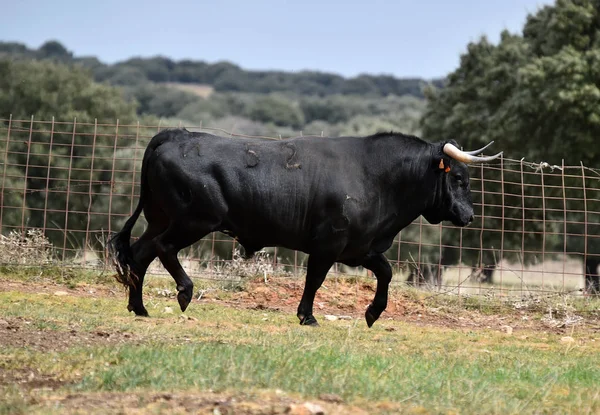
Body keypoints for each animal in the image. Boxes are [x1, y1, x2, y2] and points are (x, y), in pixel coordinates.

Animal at [109, 128, 502, 326]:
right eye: (460, 179)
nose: (469, 216)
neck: (375, 175)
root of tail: (176, 134)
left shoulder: (361, 248)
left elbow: (386, 273)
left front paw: (372, 313)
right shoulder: (329, 243)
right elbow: (315, 279)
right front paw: (307, 316)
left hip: (161, 218)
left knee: (140, 255)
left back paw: (139, 308)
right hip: (193, 221)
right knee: (163, 249)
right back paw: (185, 292)